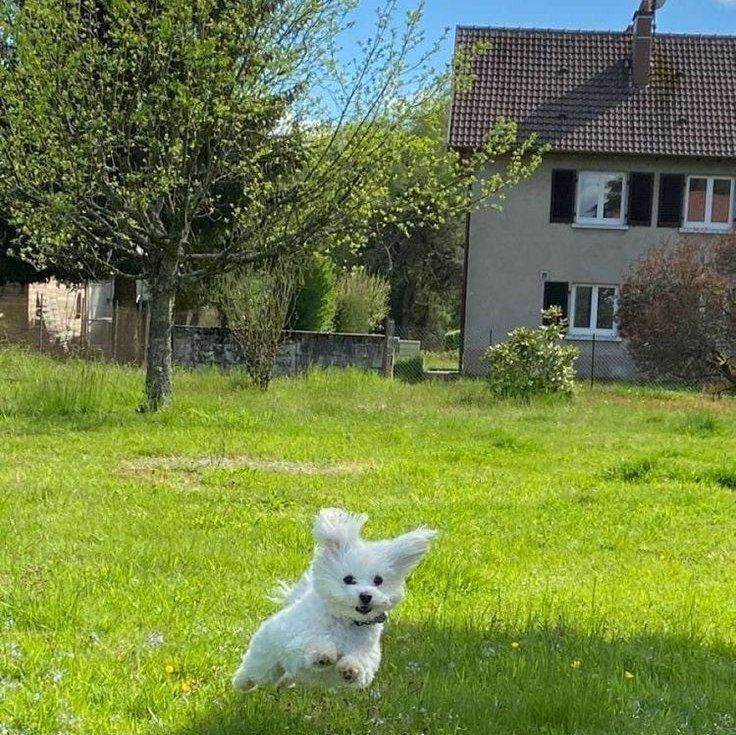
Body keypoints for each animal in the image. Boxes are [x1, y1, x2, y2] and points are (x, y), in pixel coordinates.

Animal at [233, 508, 434, 692]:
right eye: (348, 579)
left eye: (378, 581)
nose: (366, 596)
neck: (346, 621)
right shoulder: (298, 641)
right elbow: (312, 644)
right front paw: (324, 655)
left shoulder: (368, 655)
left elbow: (361, 664)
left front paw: (349, 669)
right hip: (266, 658)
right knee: (255, 671)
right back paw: (241, 683)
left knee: (285, 675)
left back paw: (285, 682)